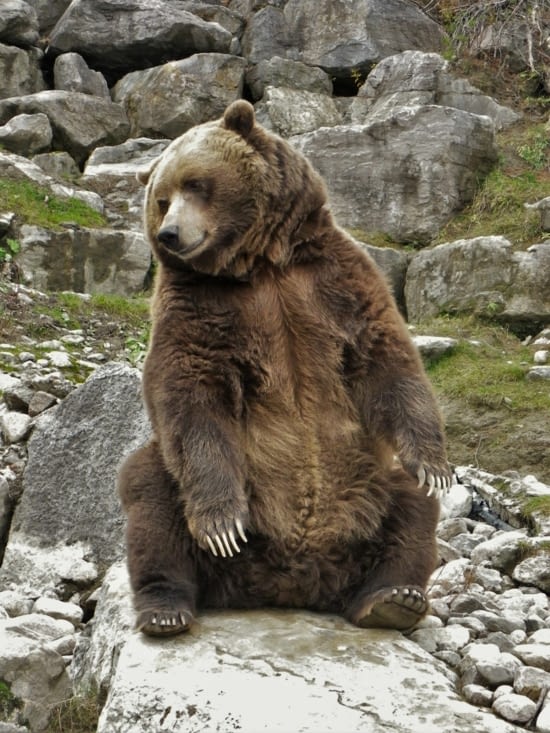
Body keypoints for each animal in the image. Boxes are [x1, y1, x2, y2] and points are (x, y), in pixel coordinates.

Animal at [118, 99, 452, 637]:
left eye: (195, 184)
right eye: (161, 199)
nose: (170, 234)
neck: (261, 263)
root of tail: (294, 581)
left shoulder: (334, 279)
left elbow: (385, 357)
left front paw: (435, 465)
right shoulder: (196, 306)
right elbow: (191, 394)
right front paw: (222, 526)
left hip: (370, 485)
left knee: (412, 510)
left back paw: (391, 597)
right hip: (208, 509)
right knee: (151, 494)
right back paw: (166, 609)